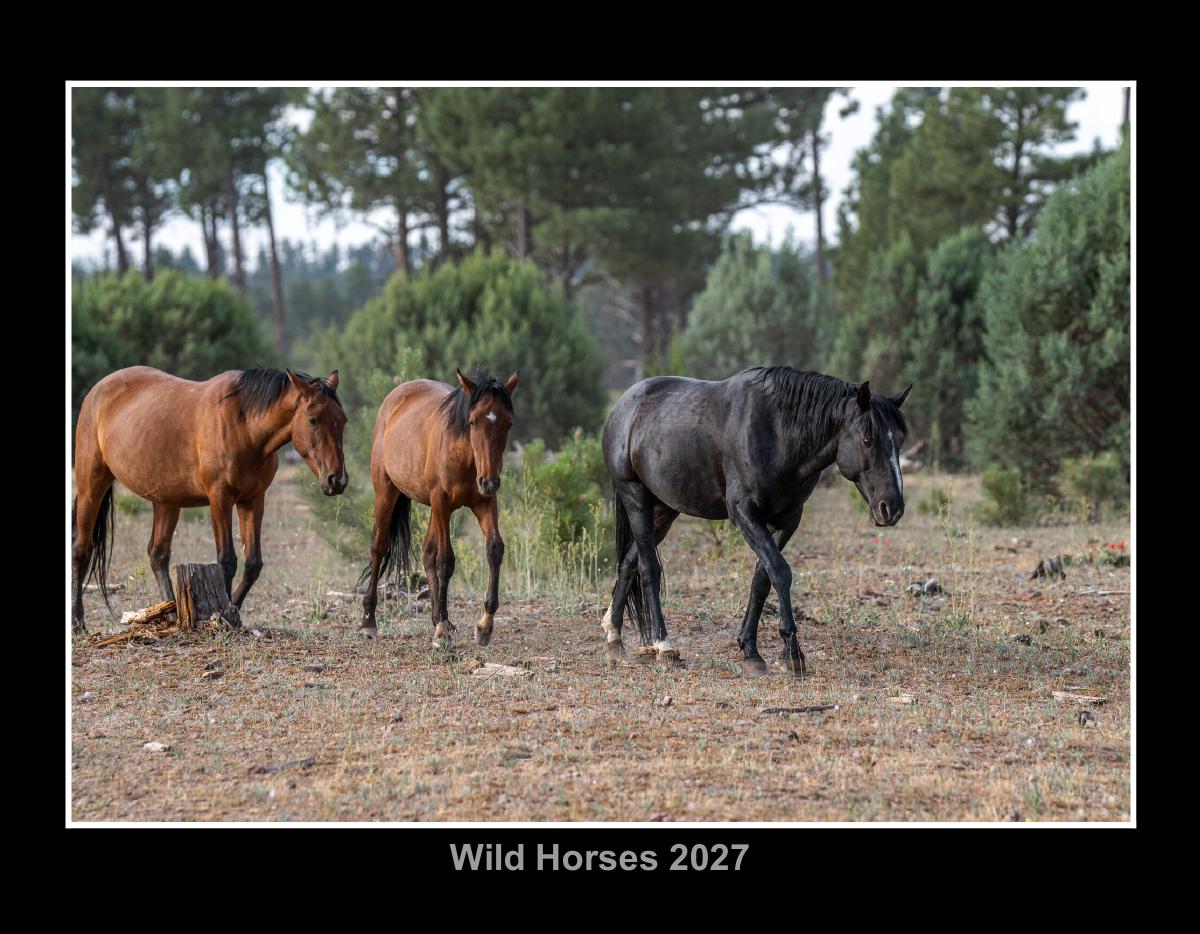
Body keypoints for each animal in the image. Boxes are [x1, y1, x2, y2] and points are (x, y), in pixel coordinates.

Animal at [72, 366, 348, 632]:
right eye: (313, 419)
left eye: (342, 420)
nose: (338, 480)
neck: (244, 425)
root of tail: (98, 390)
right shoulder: (220, 498)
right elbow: (227, 560)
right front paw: (224, 615)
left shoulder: (253, 500)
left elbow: (253, 564)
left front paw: (234, 612)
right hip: (91, 487)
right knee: (82, 549)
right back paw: (78, 622)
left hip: (166, 501)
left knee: (158, 554)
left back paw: (171, 614)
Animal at [359, 368, 519, 647]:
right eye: (473, 421)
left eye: (508, 422)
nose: (489, 481)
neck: (465, 456)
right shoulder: (441, 502)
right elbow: (446, 561)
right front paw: (442, 630)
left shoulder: (484, 503)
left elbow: (494, 550)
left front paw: (484, 626)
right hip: (387, 493)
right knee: (379, 548)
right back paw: (369, 622)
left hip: (435, 510)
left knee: (427, 552)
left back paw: (438, 617)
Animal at [600, 366, 911, 675]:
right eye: (867, 439)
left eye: (900, 439)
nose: (892, 508)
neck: (778, 433)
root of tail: (623, 406)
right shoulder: (745, 514)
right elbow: (780, 572)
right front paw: (792, 653)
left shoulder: (787, 520)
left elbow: (762, 578)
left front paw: (750, 650)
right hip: (636, 498)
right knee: (648, 568)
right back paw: (664, 646)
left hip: (664, 509)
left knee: (629, 562)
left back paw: (614, 636)